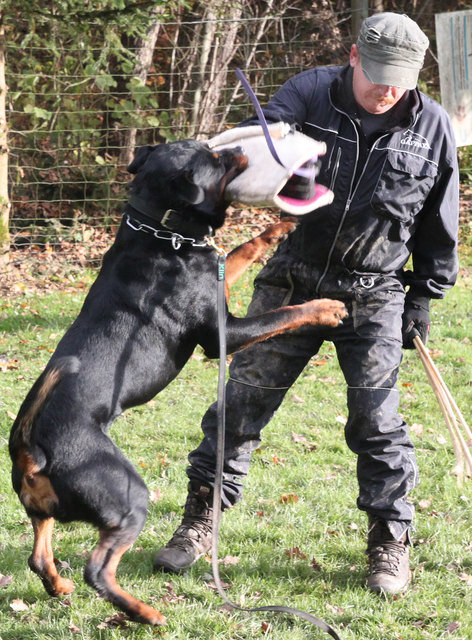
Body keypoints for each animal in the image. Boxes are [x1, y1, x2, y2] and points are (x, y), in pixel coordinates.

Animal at [8, 140, 346, 624]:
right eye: (216, 158)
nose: (237, 146)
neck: (161, 231)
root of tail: (31, 452)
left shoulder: (219, 276)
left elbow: (240, 250)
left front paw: (279, 226)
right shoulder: (223, 335)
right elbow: (285, 313)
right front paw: (327, 308)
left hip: (46, 508)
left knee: (38, 555)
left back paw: (60, 585)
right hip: (128, 496)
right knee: (99, 569)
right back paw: (145, 612)